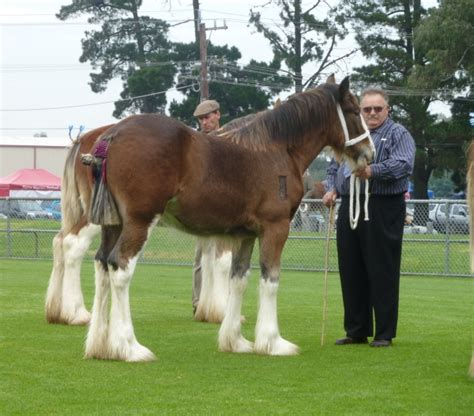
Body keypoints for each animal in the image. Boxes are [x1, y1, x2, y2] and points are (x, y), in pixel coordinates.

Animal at [83, 76, 374, 362]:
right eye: (354, 111)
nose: (369, 153)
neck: (278, 149)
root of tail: (113, 135)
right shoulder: (275, 228)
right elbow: (270, 280)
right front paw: (272, 342)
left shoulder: (245, 235)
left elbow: (239, 279)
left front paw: (235, 341)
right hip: (139, 222)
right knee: (120, 266)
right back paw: (129, 347)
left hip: (113, 225)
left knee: (102, 265)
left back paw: (101, 346)